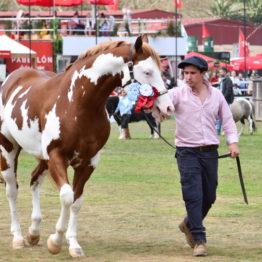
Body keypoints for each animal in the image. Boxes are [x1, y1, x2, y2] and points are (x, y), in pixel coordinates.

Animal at [0, 35, 174, 258]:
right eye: (147, 72)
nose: (167, 107)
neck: (77, 103)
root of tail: (12, 78)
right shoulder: (57, 156)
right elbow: (67, 196)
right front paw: (56, 241)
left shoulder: (88, 162)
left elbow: (77, 201)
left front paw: (73, 244)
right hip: (9, 148)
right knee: (12, 190)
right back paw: (18, 238)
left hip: (42, 157)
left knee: (34, 180)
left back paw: (34, 232)